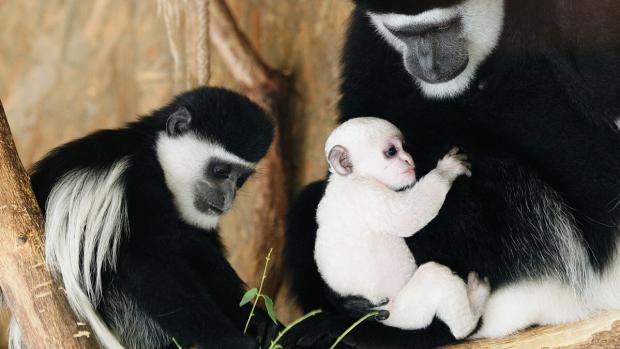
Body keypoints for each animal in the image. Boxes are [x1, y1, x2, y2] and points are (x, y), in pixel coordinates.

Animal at [7, 87, 276, 348]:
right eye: (220, 171)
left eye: (241, 180)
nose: (228, 199)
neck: (153, 152)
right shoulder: (138, 182)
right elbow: (146, 262)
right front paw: (230, 340)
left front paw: (261, 322)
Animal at [314, 116, 490, 338]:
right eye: (391, 152)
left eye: (404, 148)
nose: (408, 160)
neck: (349, 179)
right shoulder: (366, 194)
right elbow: (407, 216)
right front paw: (446, 171)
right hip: (403, 313)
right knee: (436, 278)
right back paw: (471, 314)